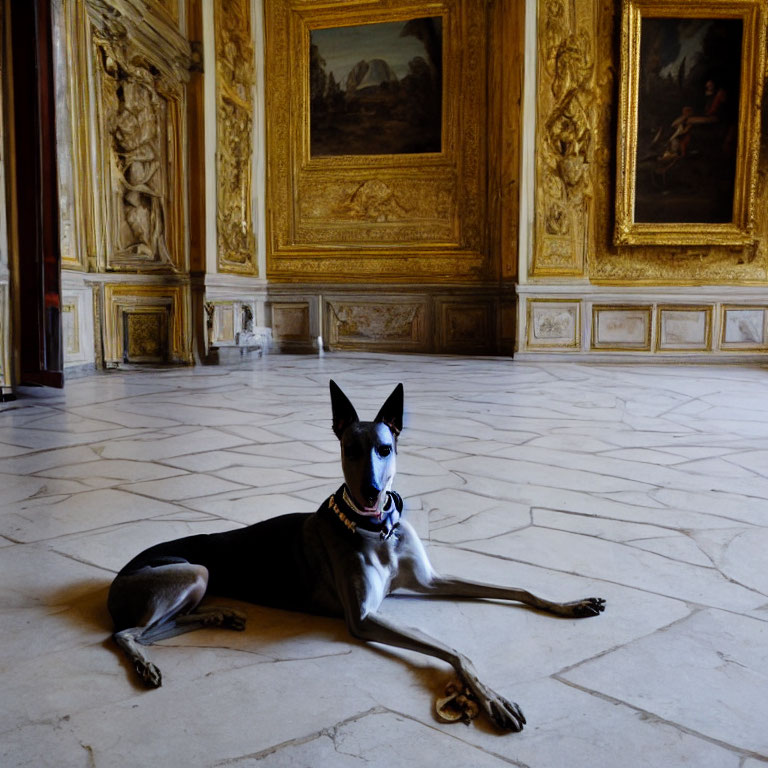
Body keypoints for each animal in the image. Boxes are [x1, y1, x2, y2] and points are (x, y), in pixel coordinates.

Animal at [108, 380, 608, 728]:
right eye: (350, 449)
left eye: (385, 448)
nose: (370, 491)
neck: (377, 531)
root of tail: (114, 587)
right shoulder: (363, 618)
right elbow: (454, 651)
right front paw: (492, 699)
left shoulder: (426, 580)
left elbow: (518, 588)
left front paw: (571, 604)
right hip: (194, 570)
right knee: (128, 635)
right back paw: (147, 661)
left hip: (199, 578)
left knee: (158, 628)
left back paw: (218, 615)